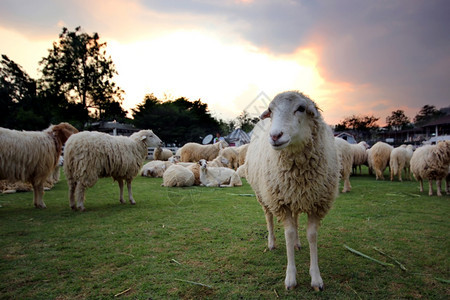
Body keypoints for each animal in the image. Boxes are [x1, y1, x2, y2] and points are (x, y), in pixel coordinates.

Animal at [246, 91, 338, 290]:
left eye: (301, 108)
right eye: (271, 110)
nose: (275, 136)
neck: (298, 172)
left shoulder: (317, 203)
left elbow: (312, 235)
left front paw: (316, 278)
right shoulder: (281, 203)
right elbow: (288, 234)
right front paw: (290, 277)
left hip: (295, 197)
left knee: (296, 220)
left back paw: (297, 244)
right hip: (264, 195)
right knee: (269, 217)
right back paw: (272, 242)